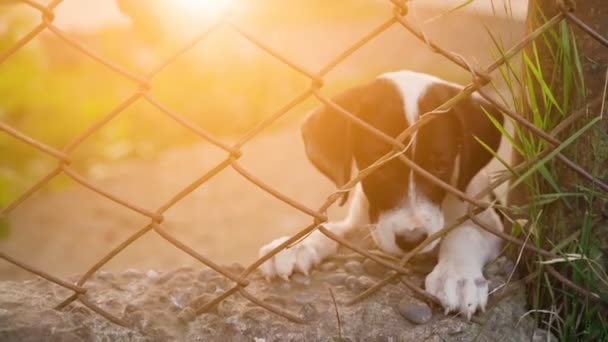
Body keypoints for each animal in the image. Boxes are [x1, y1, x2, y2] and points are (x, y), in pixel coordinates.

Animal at [260, 71, 504, 320]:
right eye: (380, 165)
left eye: (440, 165)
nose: (411, 241)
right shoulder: (365, 227)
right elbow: (333, 229)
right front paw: (295, 245)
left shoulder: (491, 221)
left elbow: (465, 232)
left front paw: (457, 277)